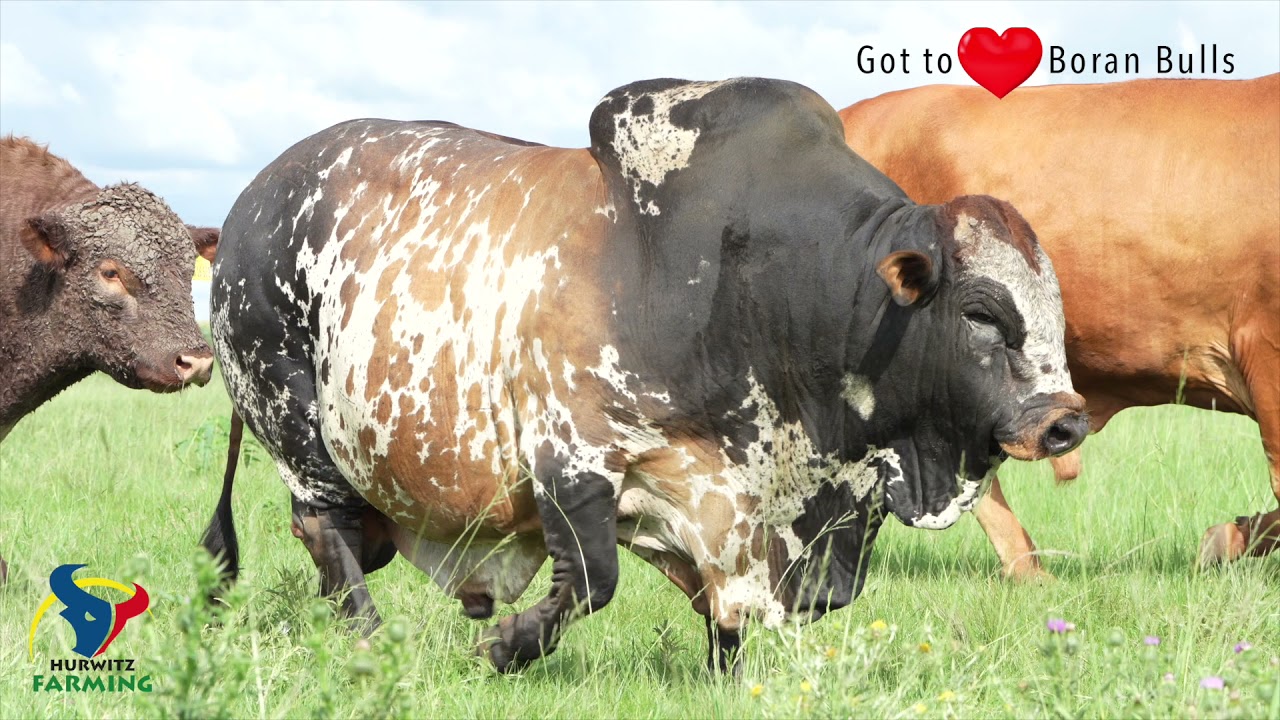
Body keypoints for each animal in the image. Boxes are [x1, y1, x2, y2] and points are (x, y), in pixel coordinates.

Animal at [200, 77, 1086, 672]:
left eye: (1054, 305)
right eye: (981, 314)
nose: (1065, 420)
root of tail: (243, 208)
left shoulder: (737, 512)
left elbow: (731, 614)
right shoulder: (571, 455)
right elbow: (592, 580)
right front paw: (502, 646)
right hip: (294, 421)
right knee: (326, 531)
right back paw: (369, 640)